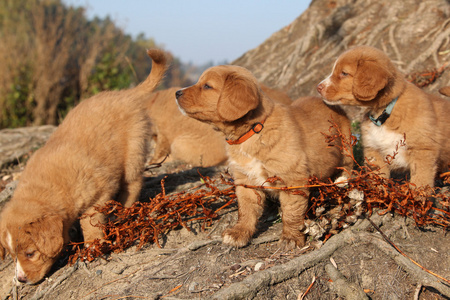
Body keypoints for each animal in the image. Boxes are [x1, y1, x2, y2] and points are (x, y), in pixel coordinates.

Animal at [0, 49, 168, 284]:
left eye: (30, 253)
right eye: (12, 254)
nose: (21, 280)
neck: (46, 187)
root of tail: (126, 94)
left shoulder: (96, 195)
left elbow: (90, 224)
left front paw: (92, 246)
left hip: (132, 151)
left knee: (133, 183)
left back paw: (123, 210)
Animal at [176, 65, 352, 248]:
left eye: (207, 86)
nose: (177, 93)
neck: (252, 131)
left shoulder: (291, 179)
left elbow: (291, 212)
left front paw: (290, 237)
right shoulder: (245, 181)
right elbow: (246, 210)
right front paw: (239, 232)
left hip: (345, 144)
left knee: (349, 166)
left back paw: (342, 179)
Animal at [316, 45, 450, 186]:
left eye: (344, 73)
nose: (318, 87)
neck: (383, 114)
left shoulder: (423, 152)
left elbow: (420, 183)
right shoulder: (374, 152)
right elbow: (377, 181)